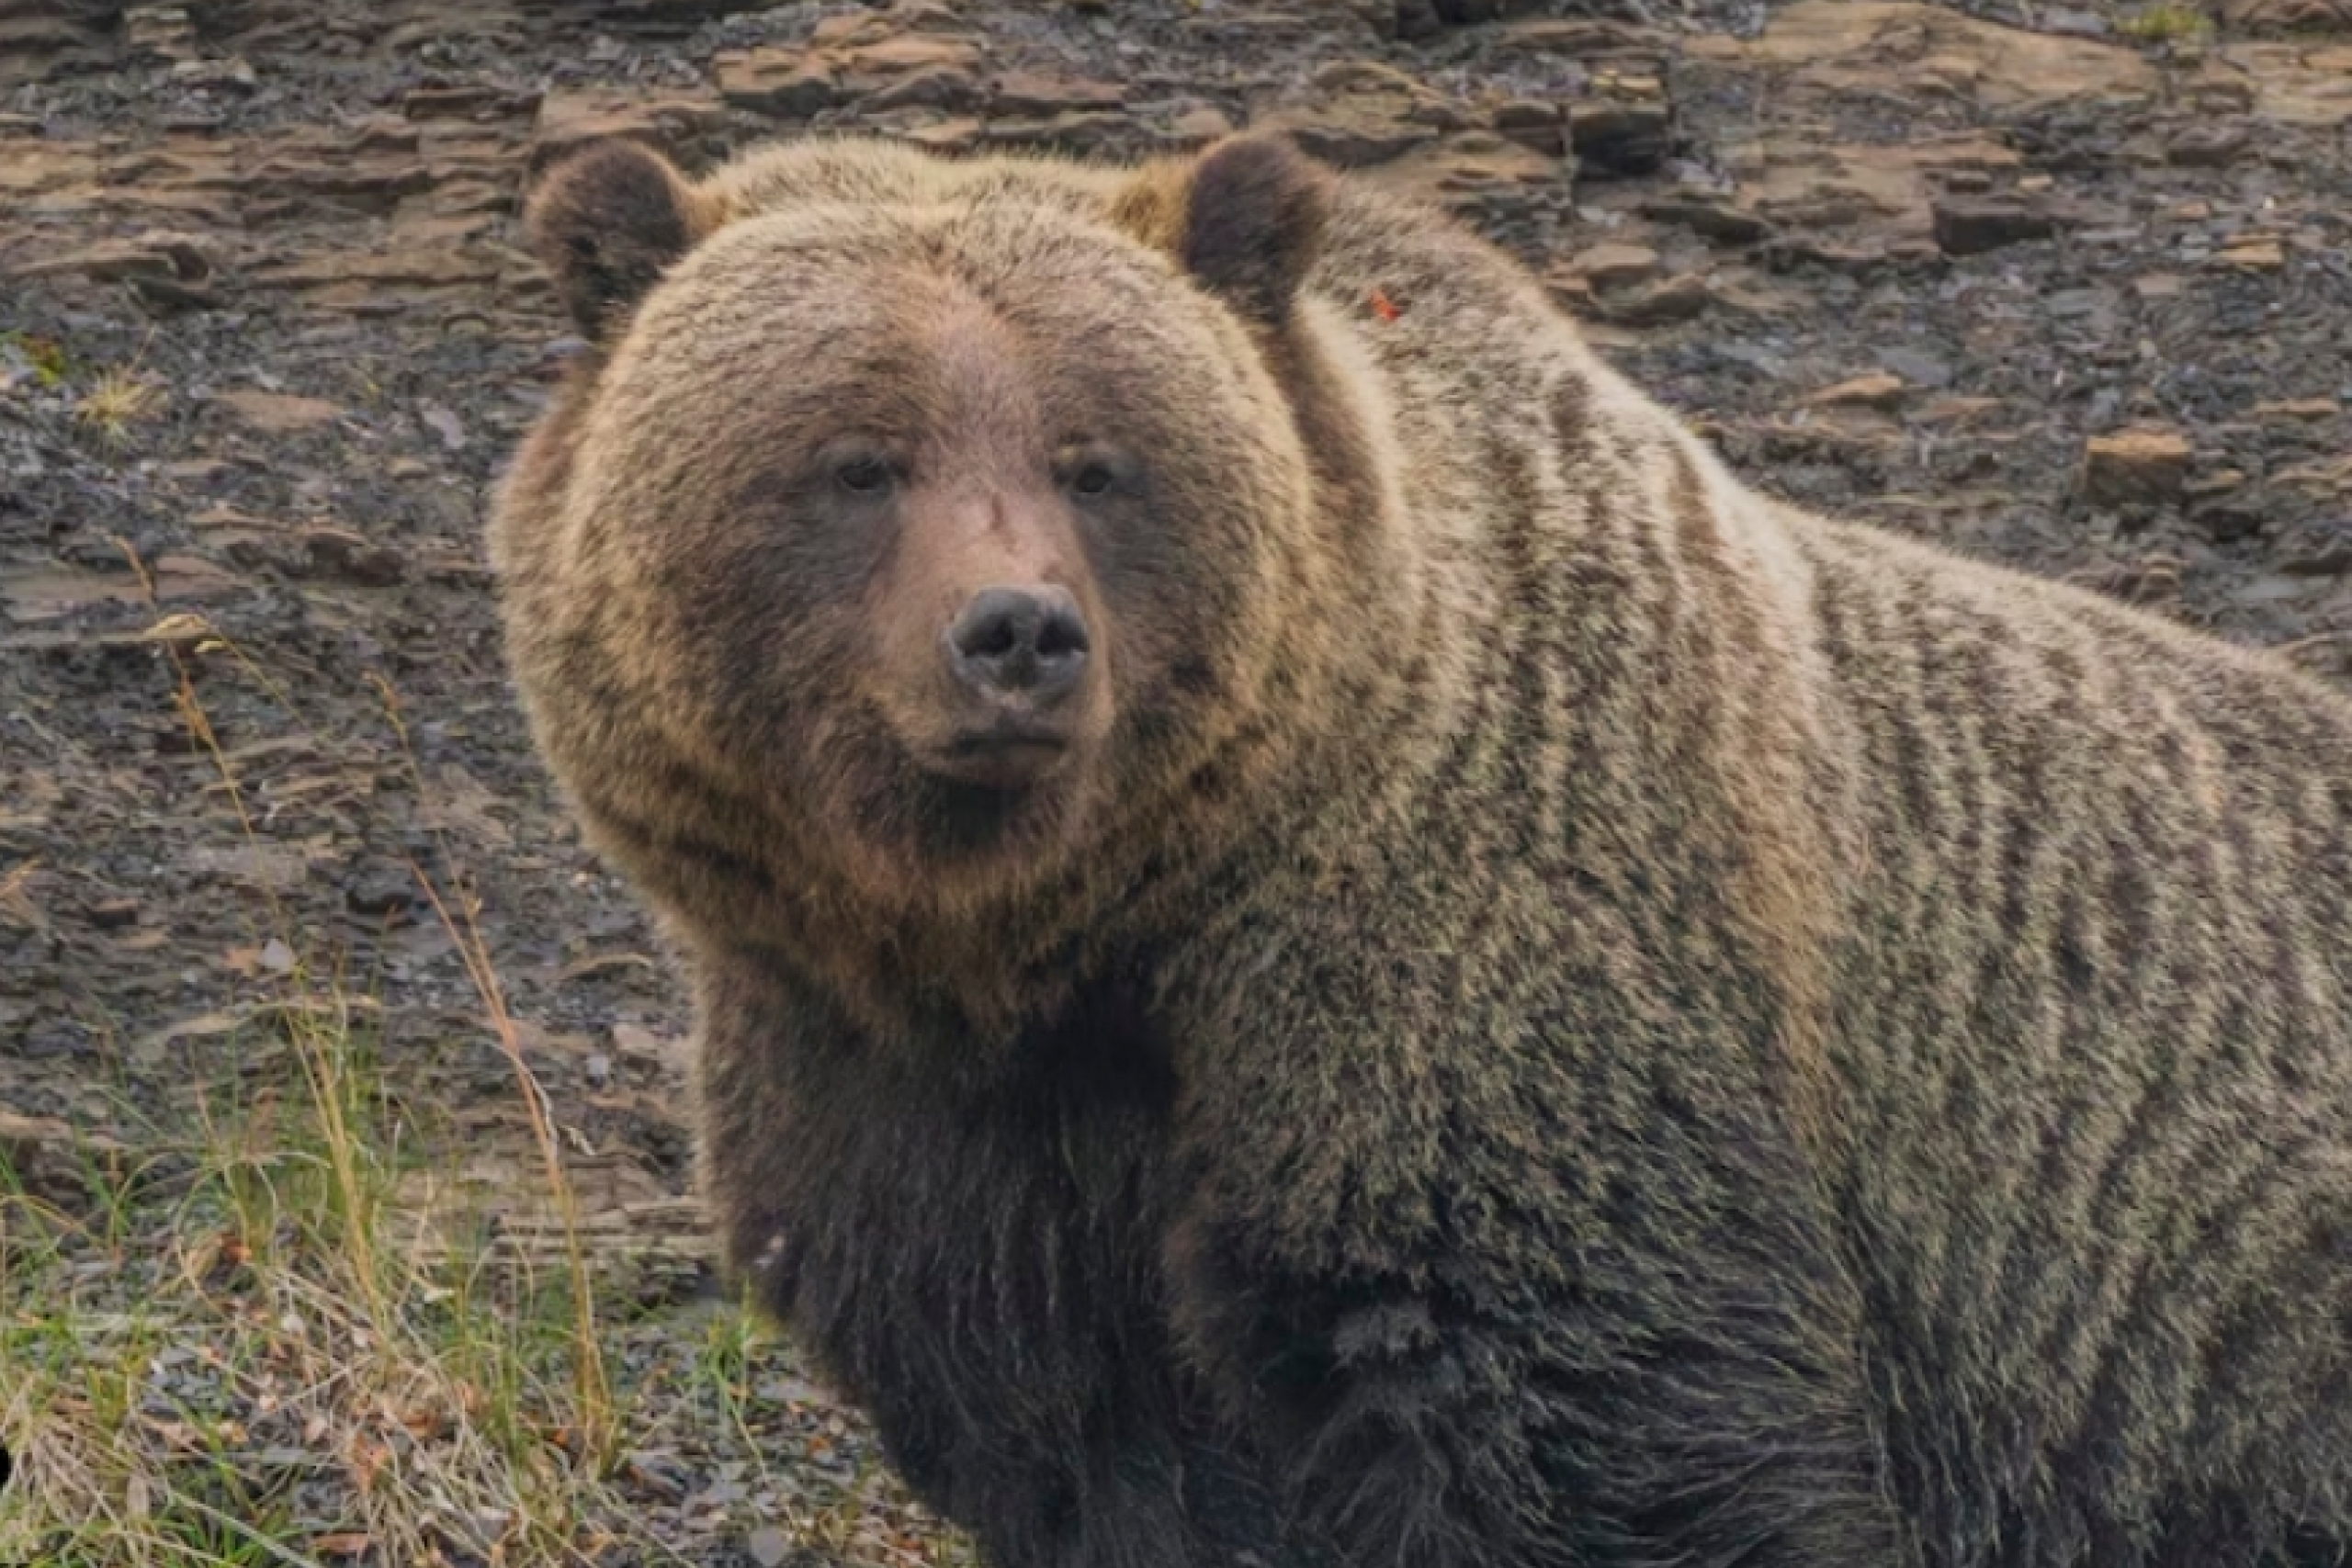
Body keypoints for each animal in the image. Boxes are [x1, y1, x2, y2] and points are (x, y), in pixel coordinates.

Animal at [489, 127, 2352, 1568]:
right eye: (857, 458)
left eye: (1098, 461)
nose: (1016, 634)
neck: (1078, 930)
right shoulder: (902, 1100)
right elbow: (1077, 1431)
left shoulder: (1486, 983)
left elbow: (1591, 1421)